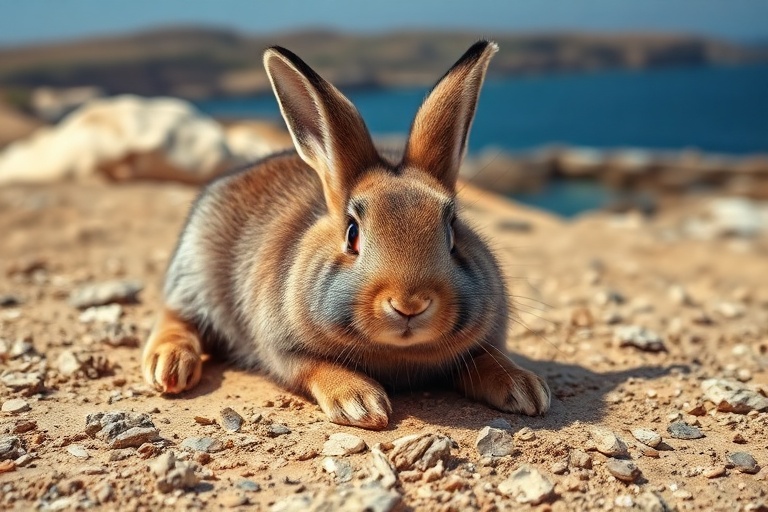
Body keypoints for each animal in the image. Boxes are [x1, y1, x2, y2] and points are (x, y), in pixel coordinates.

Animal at [141, 40, 551, 430]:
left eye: (452, 232)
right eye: (352, 234)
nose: (409, 305)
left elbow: (485, 358)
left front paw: (525, 388)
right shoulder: (282, 350)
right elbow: (314, 367)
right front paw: (360, 402)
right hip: (193, 274)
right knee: (175, 316)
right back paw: (169, 366)